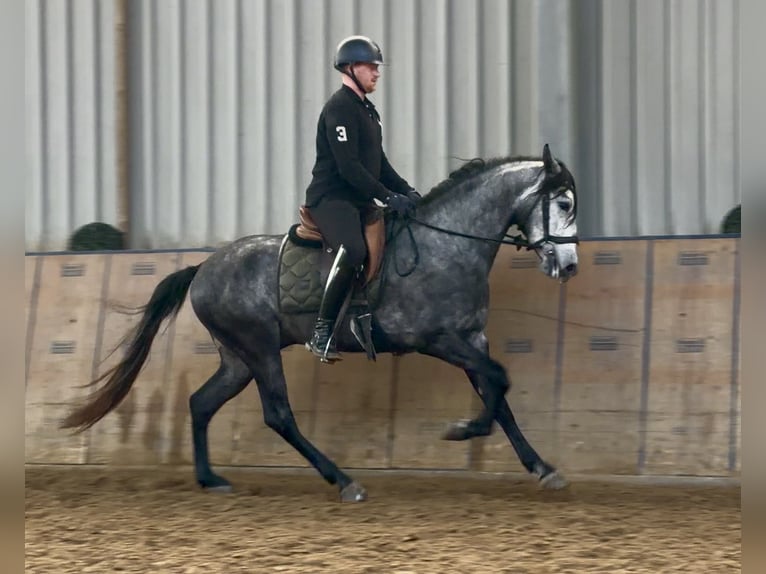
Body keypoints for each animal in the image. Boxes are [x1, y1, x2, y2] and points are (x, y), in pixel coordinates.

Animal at [61, 143, 580, 502]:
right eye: (564, 204)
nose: (570, 267)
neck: (448, 245)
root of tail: (205, 267)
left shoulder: (472, 337)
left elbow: (499, 394)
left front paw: (542, 467)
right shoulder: (438, 338)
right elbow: (499, 380)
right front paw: (463, 430)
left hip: (238, 359)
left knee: (202, 403)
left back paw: (210, 478)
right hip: (259, 350)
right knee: (278, 415)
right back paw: (344, 480)